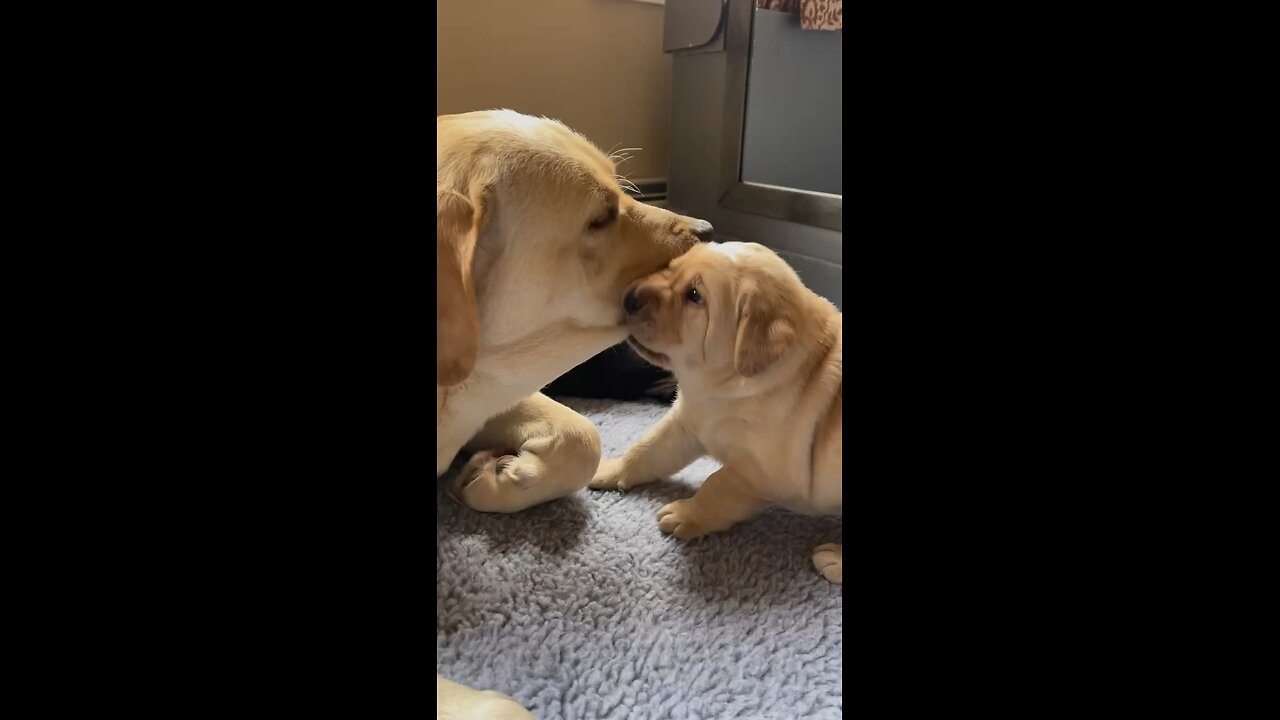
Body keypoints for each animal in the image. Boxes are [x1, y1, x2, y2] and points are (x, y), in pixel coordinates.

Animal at [588, 243, 839, 579]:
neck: (729, 384)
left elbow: (717, 487)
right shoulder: (687, 422)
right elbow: (647, 449)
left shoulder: (761, 473)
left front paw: (685, 514)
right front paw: (610, 469)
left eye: (695, 295)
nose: (628, 297)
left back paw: (834, 559)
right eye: (671, 267)